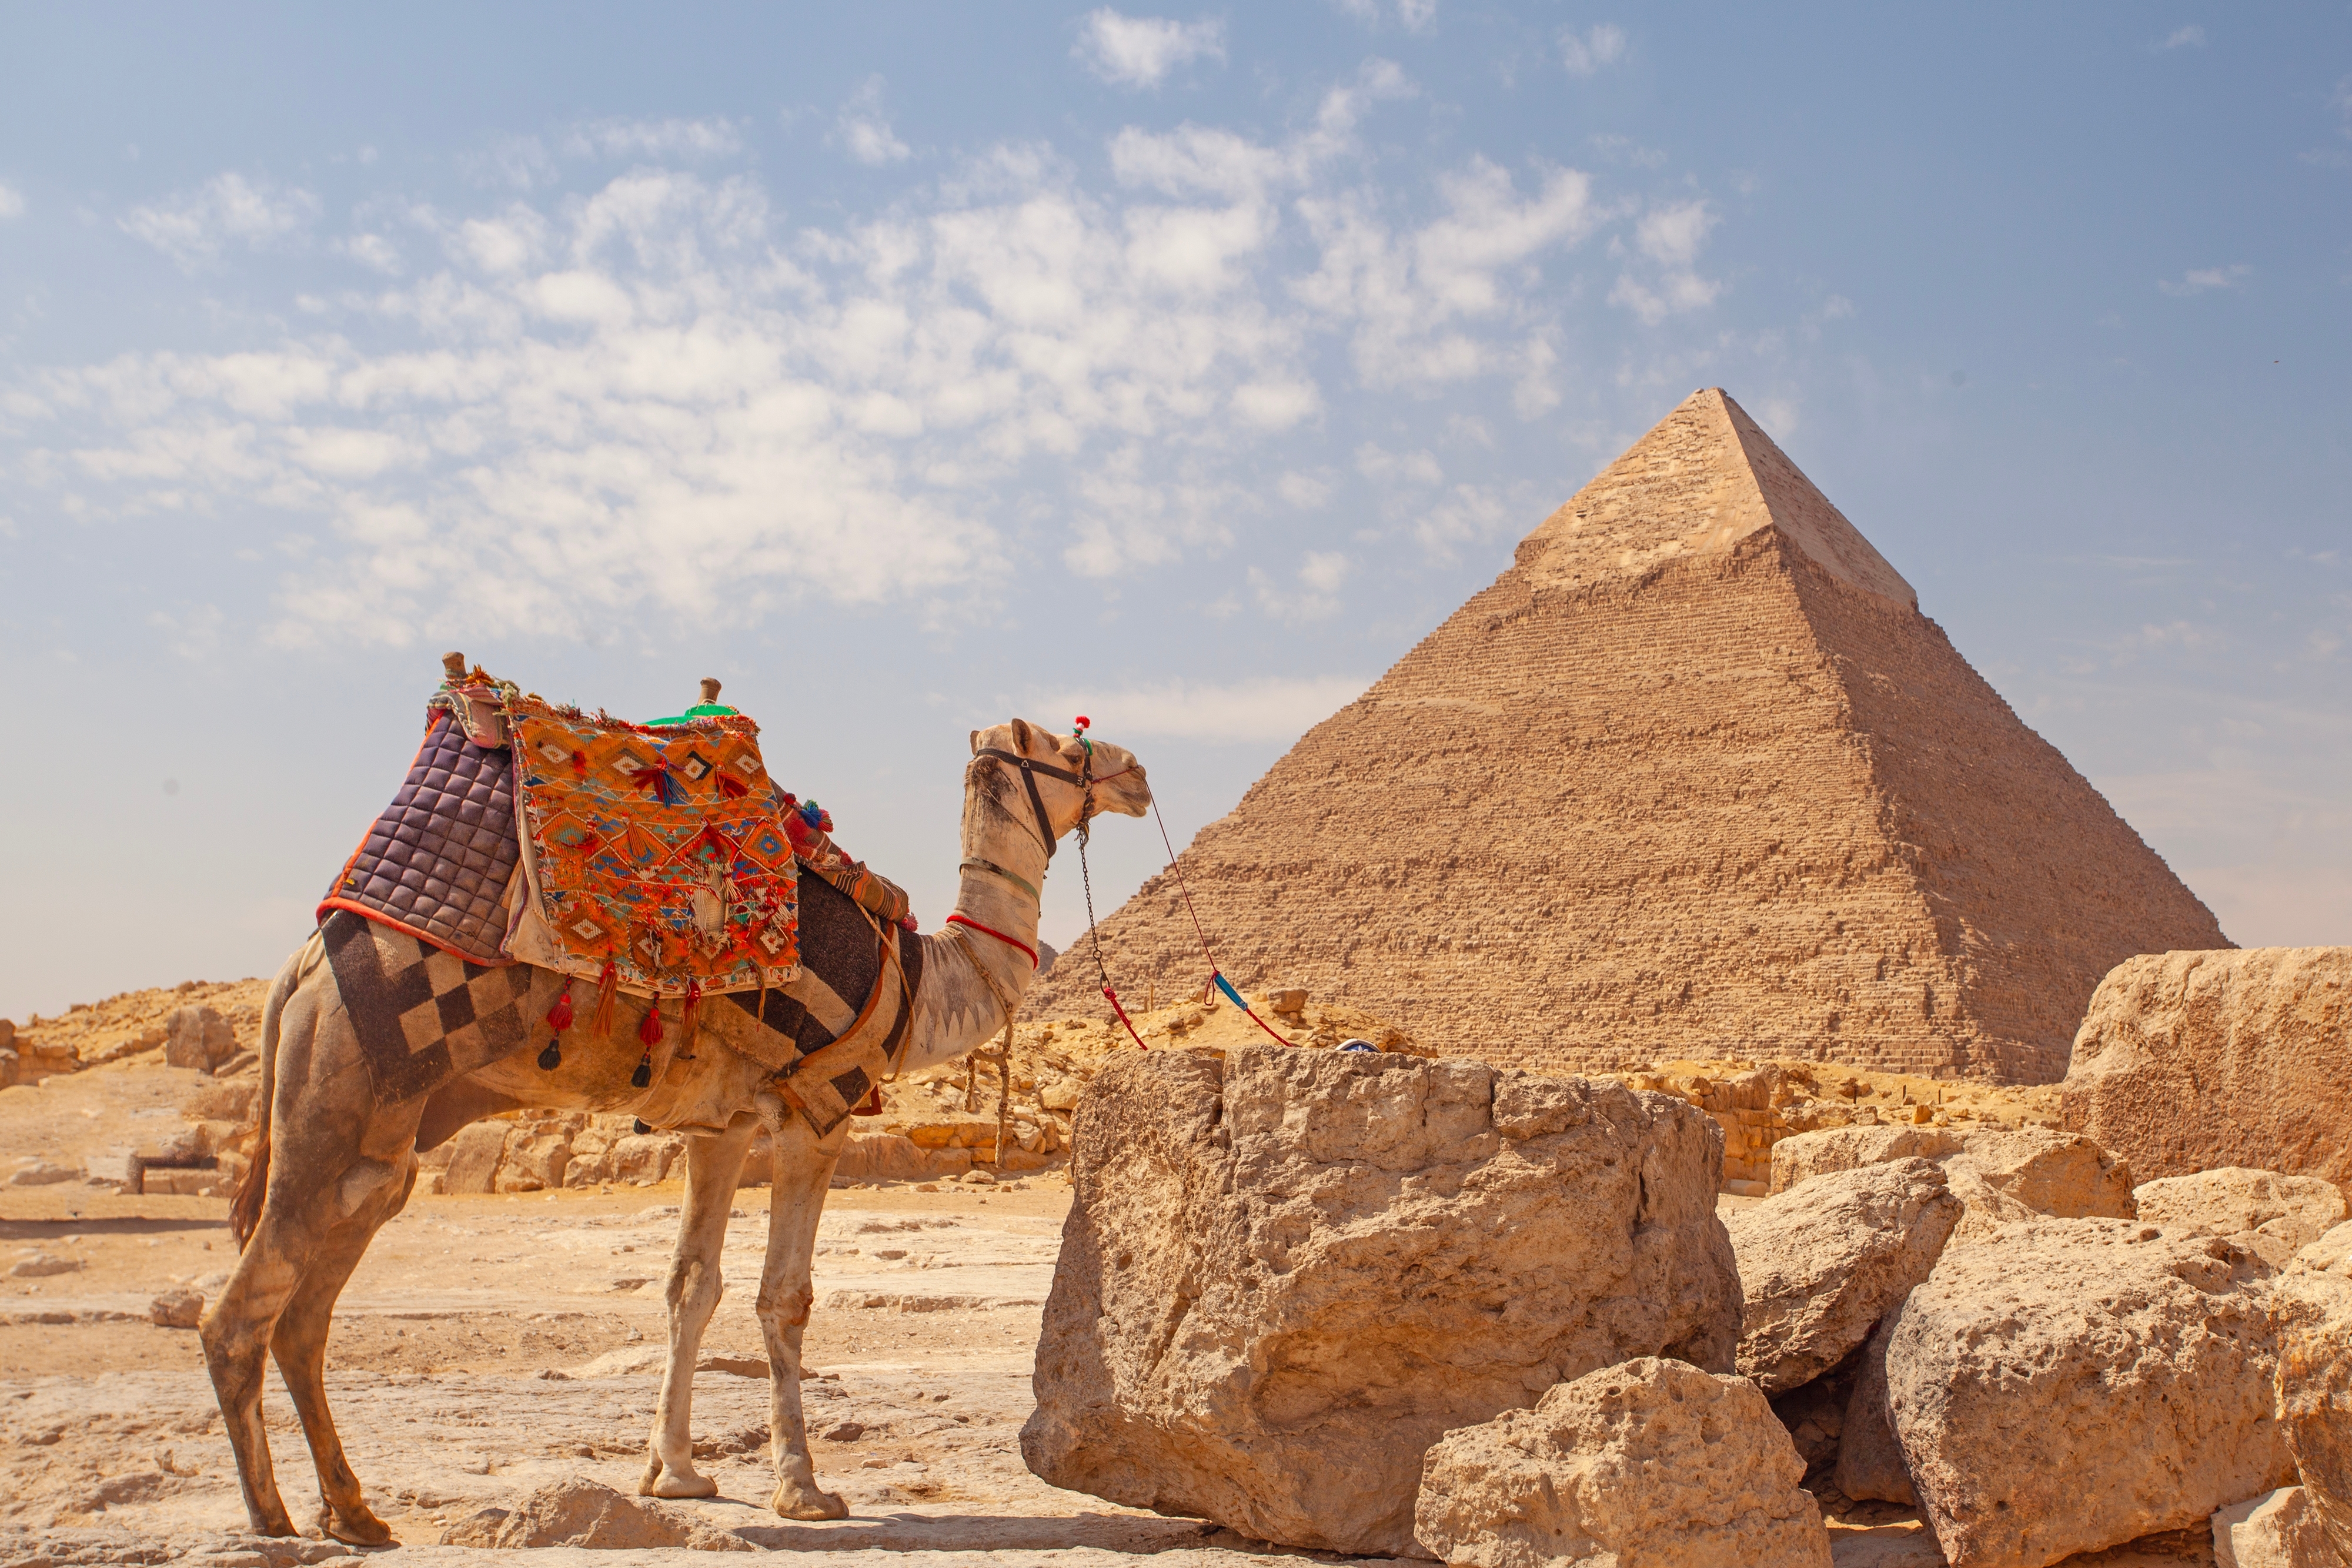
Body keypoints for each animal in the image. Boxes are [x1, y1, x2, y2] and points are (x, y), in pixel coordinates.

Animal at [202, 718, 1150, 1541]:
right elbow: (784, 1297)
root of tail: (297, 971)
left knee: (306, 1314)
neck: (921, 974)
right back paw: (273, 1517)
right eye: (1070, 745)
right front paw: (804, 1489)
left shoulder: (718, 1127)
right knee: (238, 1316)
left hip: (381, 1136)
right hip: (337, 1093)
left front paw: (676, 1473)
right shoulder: (818, 1111)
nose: (1137, 772)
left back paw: (356, 1512)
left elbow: (690, 1285)